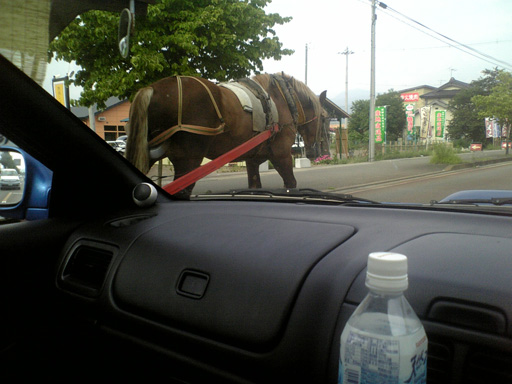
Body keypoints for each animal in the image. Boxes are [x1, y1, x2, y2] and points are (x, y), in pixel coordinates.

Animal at [126, 73, 330, 198]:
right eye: (324, 118)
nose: (317, 152)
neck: (282, 99)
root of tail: (152, 89)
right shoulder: (281, 155)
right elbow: (291, 183)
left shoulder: (252, 159)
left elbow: (254, 187)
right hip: (189, 160)